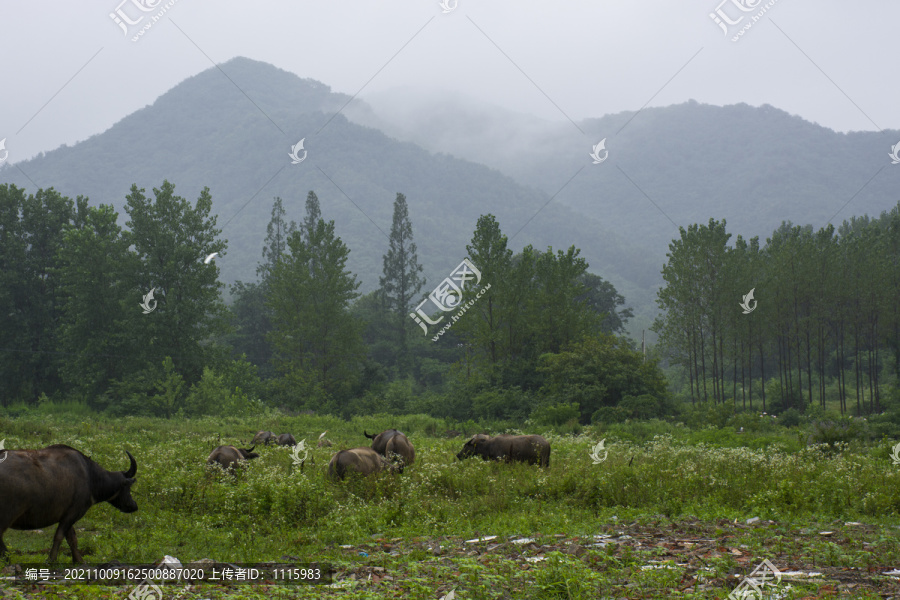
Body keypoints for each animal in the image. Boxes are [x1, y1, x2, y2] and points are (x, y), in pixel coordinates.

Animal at [0, 446, 139, 564]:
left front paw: (78, 560)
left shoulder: (67, 515)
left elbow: (72, 539)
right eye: (127, 487)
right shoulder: (73, 513)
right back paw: (7, 559)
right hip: (7, 516)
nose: (134, 505)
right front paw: (51, 559)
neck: (90, 477)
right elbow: (59, 536)